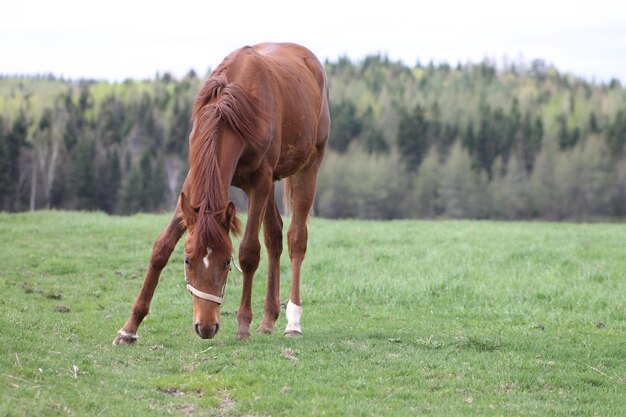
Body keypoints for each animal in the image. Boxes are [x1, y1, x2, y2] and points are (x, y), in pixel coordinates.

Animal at [111, 41, 330, 342]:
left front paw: (243, 325)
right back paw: (268, 319)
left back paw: (292, 321)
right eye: (188, 261)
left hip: (308, 167)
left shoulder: (260, 181)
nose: (206, 327)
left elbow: (249, 252)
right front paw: (130, 327)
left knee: (296, 239)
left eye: (227, 263)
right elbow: (162, 247)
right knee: (274, 237)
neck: (233, 109)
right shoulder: (193, 181)